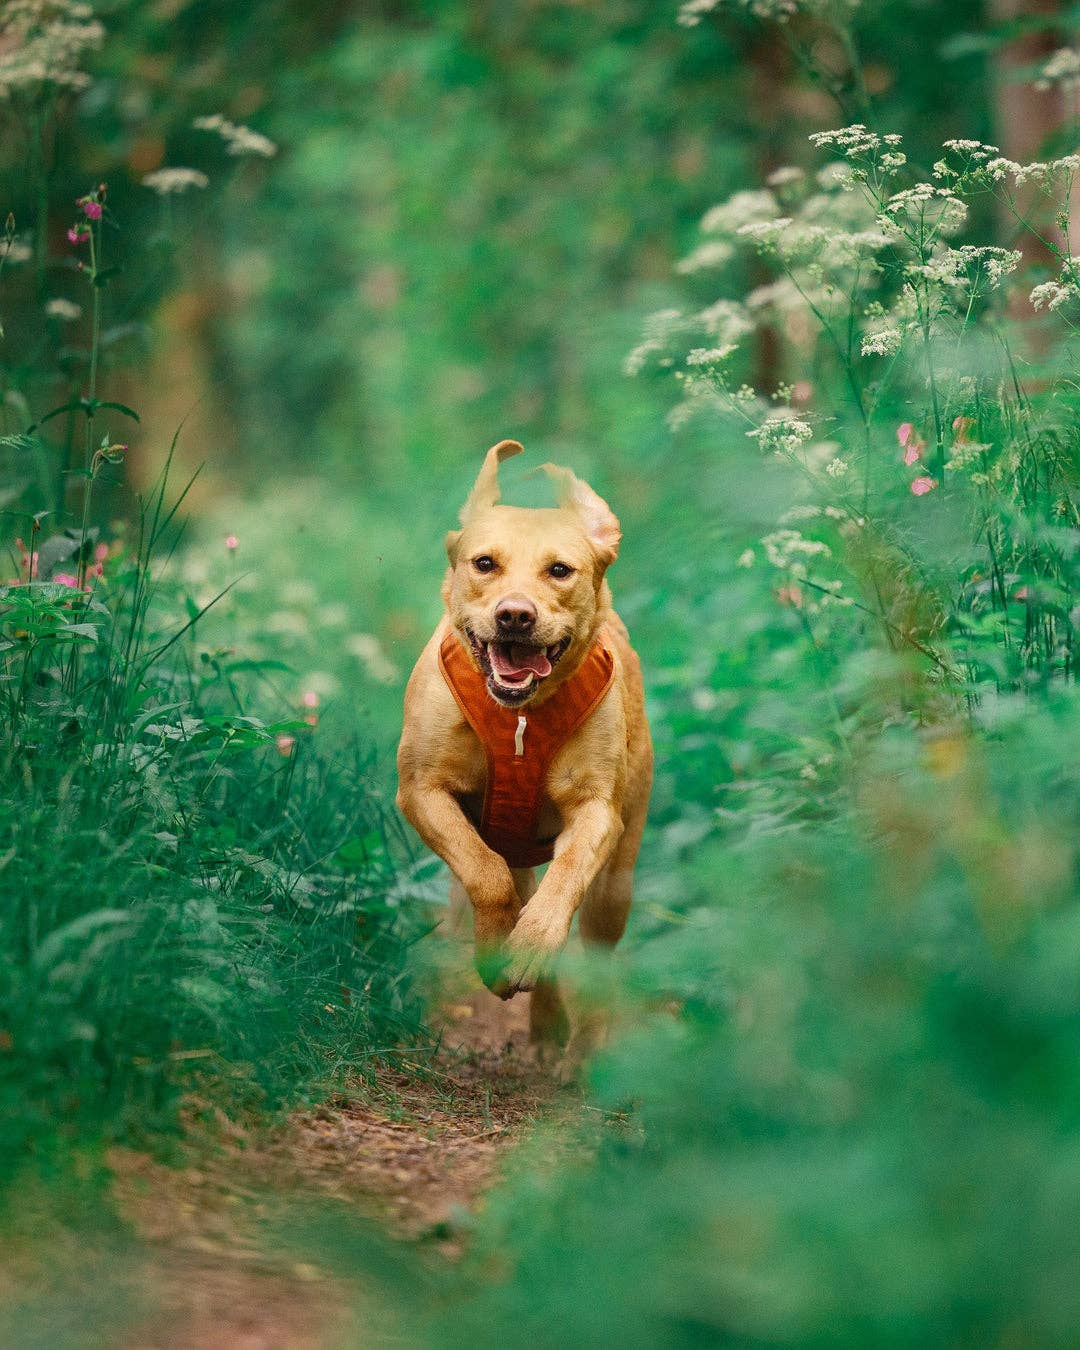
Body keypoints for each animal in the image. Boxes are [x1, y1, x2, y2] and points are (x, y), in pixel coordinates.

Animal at [396, 442, 650, 1053]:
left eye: (559, 570)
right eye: (484, 563)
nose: (515, 614)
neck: (520, 720)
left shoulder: (596, 813)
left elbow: (564, 880)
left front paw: (530, 944)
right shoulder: (420, 791)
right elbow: (483, 874)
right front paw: (497, 950)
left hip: (617, 883)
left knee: (596, 947)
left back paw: (579, 1047)